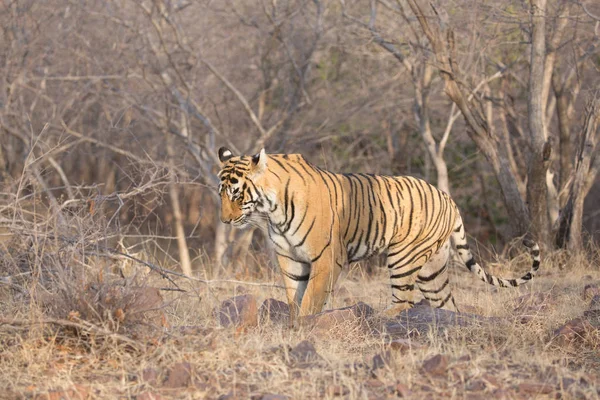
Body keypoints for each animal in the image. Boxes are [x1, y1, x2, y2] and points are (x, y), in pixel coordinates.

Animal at [216, 148, 540, 324]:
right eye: (220, 194)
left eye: (236, 193)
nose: (224, 220)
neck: (272, 212)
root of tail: (448, 198)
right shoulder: (290, 260)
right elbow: (294, 297)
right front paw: (294, 323)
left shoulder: (326, 258)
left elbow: (311, 299)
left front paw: (305, 324)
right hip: (432, 269)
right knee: (446, 303)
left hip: (403, 257)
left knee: (405, 299)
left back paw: (378, 318)